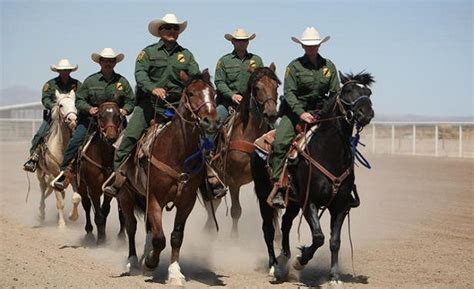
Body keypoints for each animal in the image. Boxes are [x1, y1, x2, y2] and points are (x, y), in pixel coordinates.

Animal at [35, 90, 80, 227]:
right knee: (43, 190)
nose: (72, 119)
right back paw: (41, 213)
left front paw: (73, 216)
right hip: (41, 174)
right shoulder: (55, 174)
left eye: (75, 104)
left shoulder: (72, 174)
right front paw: (61, 224)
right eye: (60, 105)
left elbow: (77, 197)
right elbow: (60, 202)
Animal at [76, 101, 125, 243]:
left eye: (118, 115)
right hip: (80, 185)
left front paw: (103, 235)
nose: (111, 137)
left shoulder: (108, 188)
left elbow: (105, 210)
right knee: (86, 204)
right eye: (101, 116)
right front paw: (101, 240)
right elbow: (98, 214)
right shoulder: (93, 190)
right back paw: (89, 233)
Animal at [117, 69, 218, 284]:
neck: (176, 152)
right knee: (131, 227)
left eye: (213, 94)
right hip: (125, 196)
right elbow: (160, 239)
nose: (211, 121)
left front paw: (174, 273)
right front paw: (151, 263)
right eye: (191, 93)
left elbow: (175, 237)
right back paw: (132, 262)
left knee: (148, 228)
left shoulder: (186, 202)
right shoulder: (155, 199)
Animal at [202, 63, 280, 234]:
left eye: (276, 85)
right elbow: (236, 211)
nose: (271, 114)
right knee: (211, 205)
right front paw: (234, 238)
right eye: (257, 87)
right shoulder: (234, 182)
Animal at [250, 71, 376, 282]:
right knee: (268, 230)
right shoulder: (310, 202)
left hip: (292, 202)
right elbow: (319, 237)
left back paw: (284, 258)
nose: (366, 112)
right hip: (264, 196)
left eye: (368, 92)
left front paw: (334, 277)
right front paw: (300, 261)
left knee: (286, 224)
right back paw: (274, 267)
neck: (328, 153)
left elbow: (334, 241)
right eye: (348, 90)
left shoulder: (340, 206)